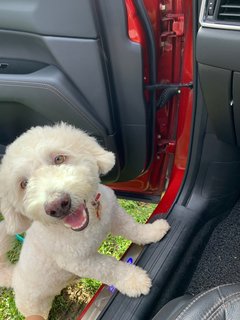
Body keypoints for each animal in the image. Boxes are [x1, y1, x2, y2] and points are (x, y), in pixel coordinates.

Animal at [0, 122, 170, 318]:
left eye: (59, 158)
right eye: (24, 184)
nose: (57, 205)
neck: (91, 224)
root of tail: (14, 276)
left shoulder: (115, 215)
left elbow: (133, 229)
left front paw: (153, 231)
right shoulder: (81, 262)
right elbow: (110, 268)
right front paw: (134, 280)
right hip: (35, 307)